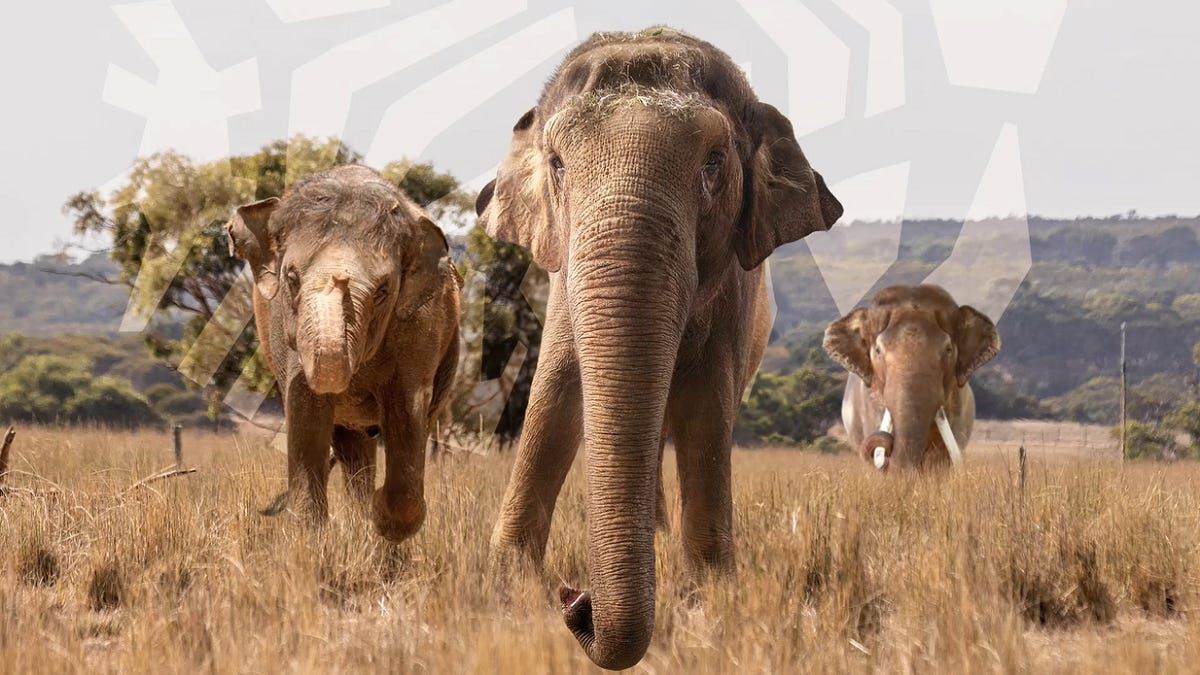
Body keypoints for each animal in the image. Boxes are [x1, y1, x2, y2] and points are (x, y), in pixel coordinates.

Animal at [226, 165, 461, 541]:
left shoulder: (421, 324)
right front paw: (310, 539)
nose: (338, 280)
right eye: (291, 277)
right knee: (352, 444)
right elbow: (305, 406)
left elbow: (407, 407)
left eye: (383, 290)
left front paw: (382, 518)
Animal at [476, 28, 842, 669]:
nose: (575, 599)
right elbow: (555, 395)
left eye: (714, 162)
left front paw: (711, 604)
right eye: (557, 163)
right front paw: (506, 593)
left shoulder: (733, 294)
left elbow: (705, 412)